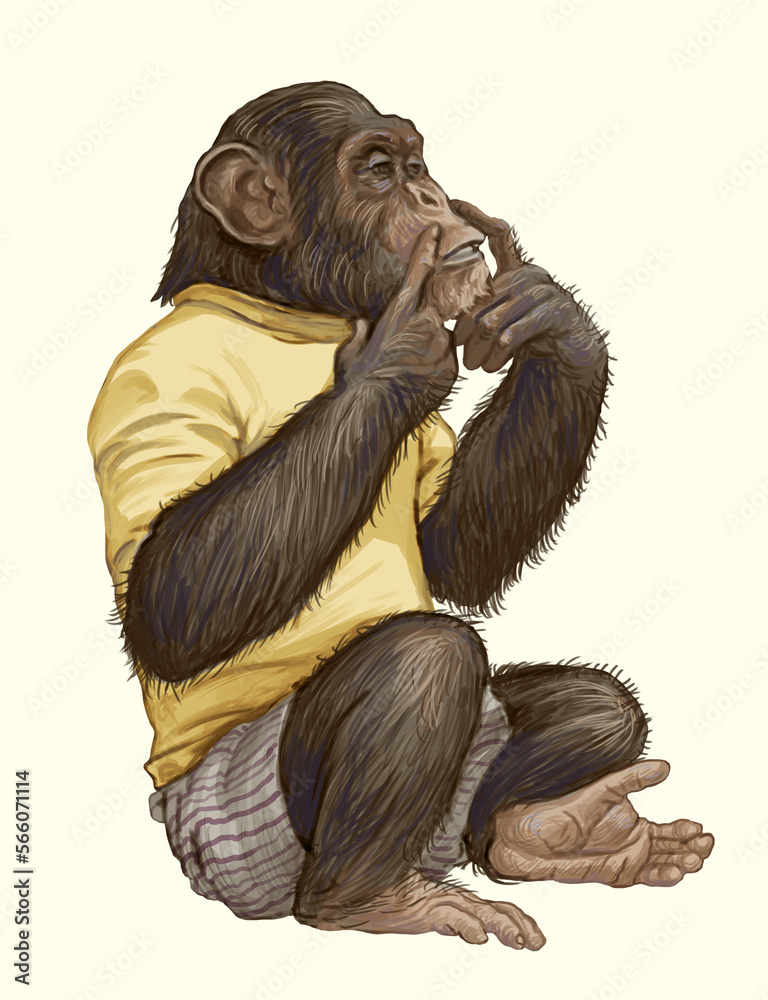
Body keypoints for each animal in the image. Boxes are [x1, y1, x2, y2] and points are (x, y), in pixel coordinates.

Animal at [87, 81, 713, 948]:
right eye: (378, 171)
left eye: (417, 166)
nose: (428, 196)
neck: (288, 308)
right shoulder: (151, 380)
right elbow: (171, 601)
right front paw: (402, 353)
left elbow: (455, 553)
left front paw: (551, 318)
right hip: (241, 841)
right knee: (422, 659)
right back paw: (374, 901)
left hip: (453, 815)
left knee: (602, 705)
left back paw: (548, 835)